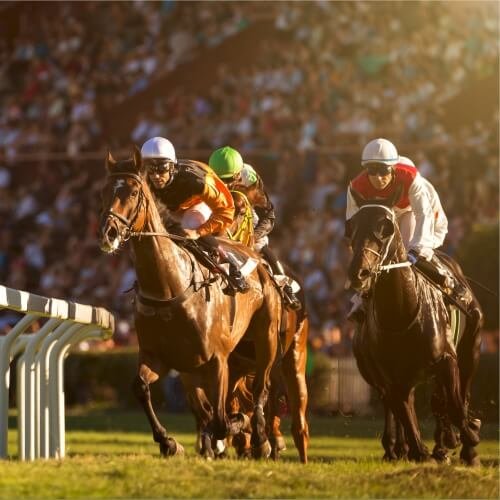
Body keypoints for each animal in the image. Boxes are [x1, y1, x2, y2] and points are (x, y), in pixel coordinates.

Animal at [98, 147, 284, 458]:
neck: (169, 288)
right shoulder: (159, 357)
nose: (108, 233)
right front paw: (168, 441)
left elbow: (221, 420)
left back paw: (262, 440)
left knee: (260, 388)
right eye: (104, 191)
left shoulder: (217, 360)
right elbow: (140, 388)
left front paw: (233, 429)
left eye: (134, 192)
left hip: (265, 338)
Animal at [346, 189, 482, 466]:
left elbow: (454, 405)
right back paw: (401, 448)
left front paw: (468, 443)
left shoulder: (447, 359)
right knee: (401, 404)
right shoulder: (391, 376)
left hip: (470, 349)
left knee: (455, 397)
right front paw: (419, 451)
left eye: (385, 227)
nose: (359, 273)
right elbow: (405, 411)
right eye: (351, 226)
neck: (402, 313)